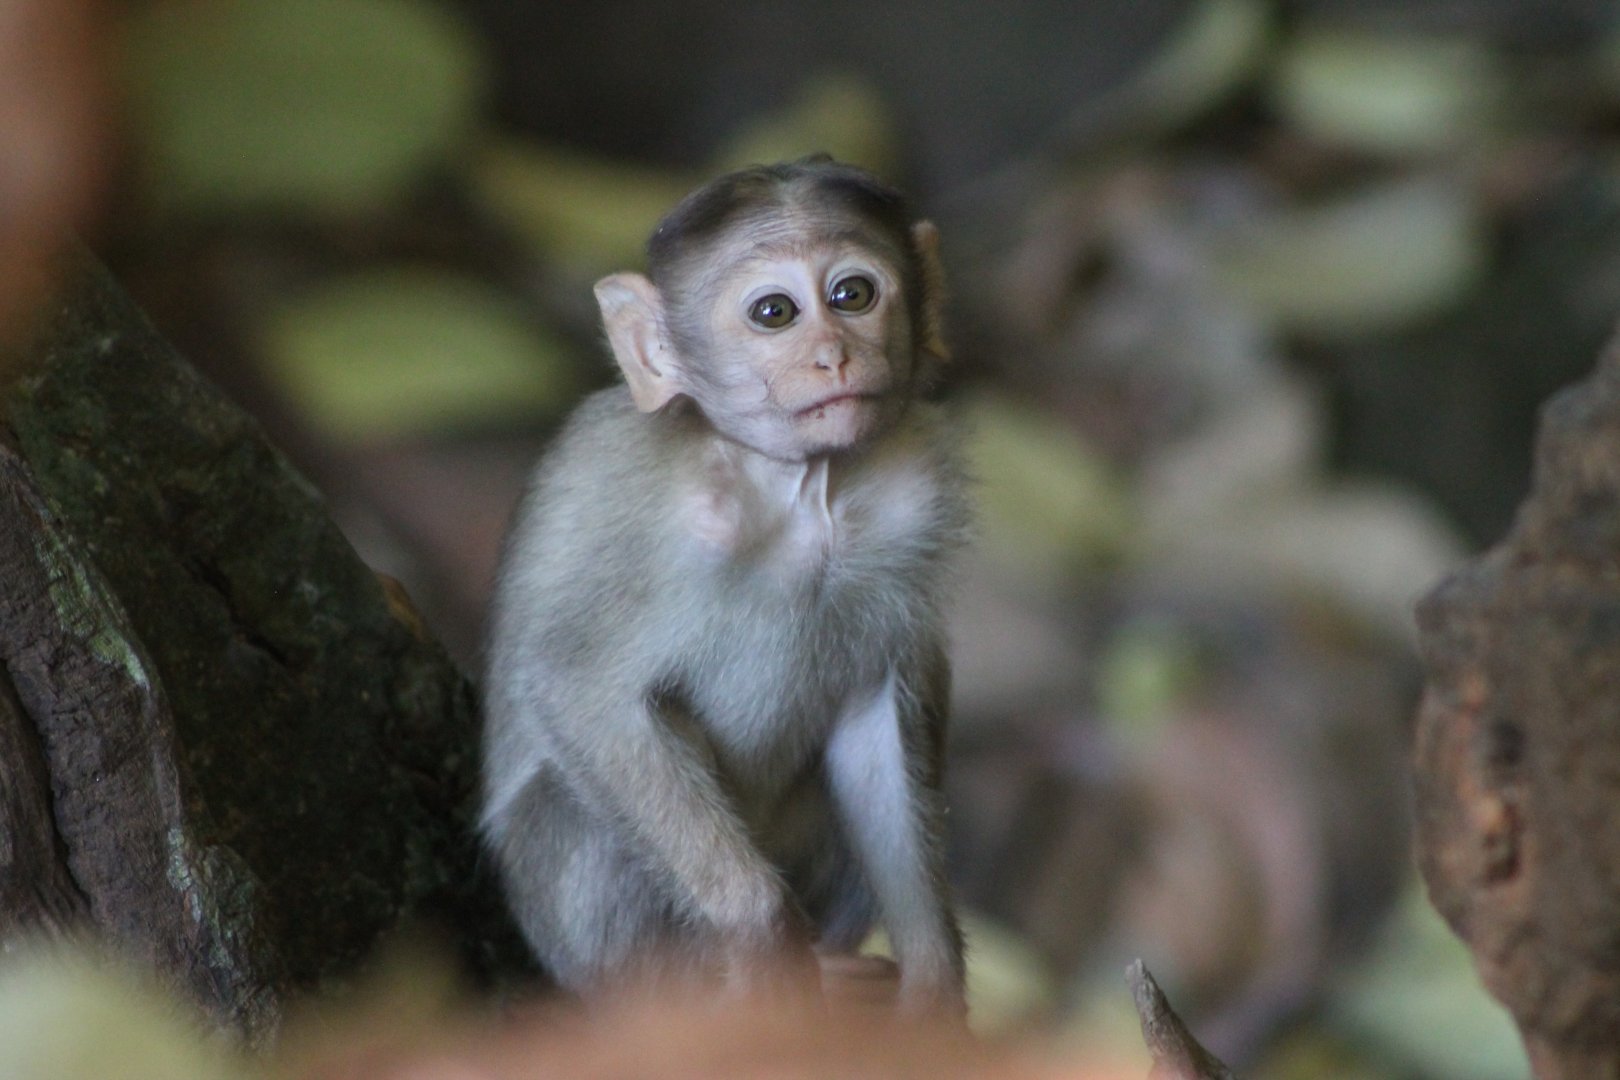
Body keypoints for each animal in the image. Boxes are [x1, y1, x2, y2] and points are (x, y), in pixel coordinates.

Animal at [479, 157, 968, 1016]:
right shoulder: (639, 510)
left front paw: (934, 982)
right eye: (775, 312)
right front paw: (759, 928)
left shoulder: (915, 503)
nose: (834, 355)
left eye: (853, 294)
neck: (797, 492)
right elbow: (577, 688)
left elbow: (879, 718)